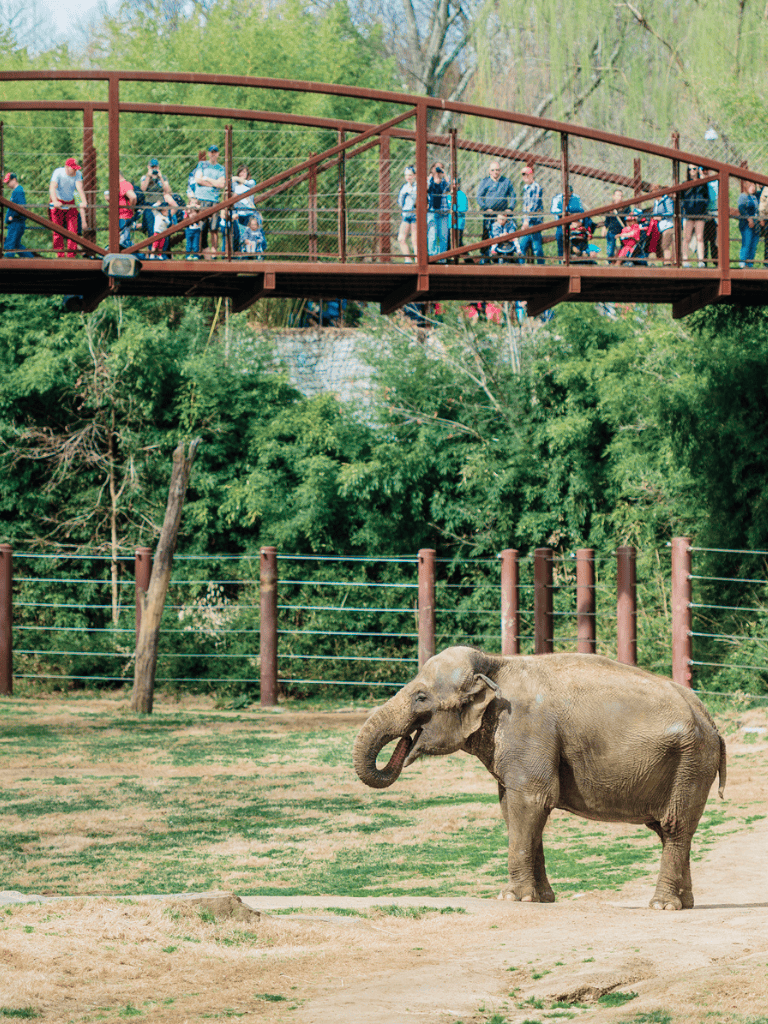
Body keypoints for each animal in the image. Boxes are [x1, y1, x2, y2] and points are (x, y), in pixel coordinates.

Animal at [353, 646, 726, 911]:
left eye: (421, 698)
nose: (407, 742)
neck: (495, 663)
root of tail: (712, 722)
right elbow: (513, 806)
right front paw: (541, 898)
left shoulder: (527, 729)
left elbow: (532, 800)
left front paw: (511, 898)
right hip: (687, 765)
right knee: (672, 831)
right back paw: (685, 903)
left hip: (691, 764)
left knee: (675, 827)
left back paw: (662, 906)